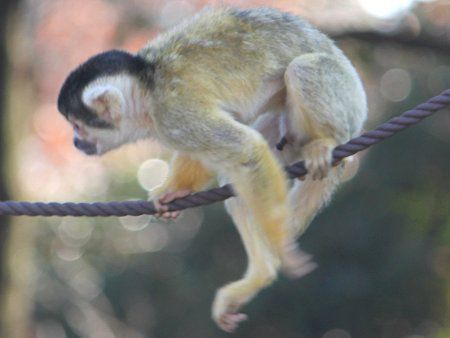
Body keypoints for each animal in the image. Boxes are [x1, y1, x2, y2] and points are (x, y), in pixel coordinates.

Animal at [57, 7, 366, 332]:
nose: (76, 142)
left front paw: (281, 243)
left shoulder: (173, 111)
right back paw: (261, 273)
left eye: (78, 125)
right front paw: (173, 190)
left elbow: (246, 150)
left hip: (346, 102)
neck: (147, 88)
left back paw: (325, 142)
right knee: (242, 177)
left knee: (301, 71)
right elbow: (219, 157)